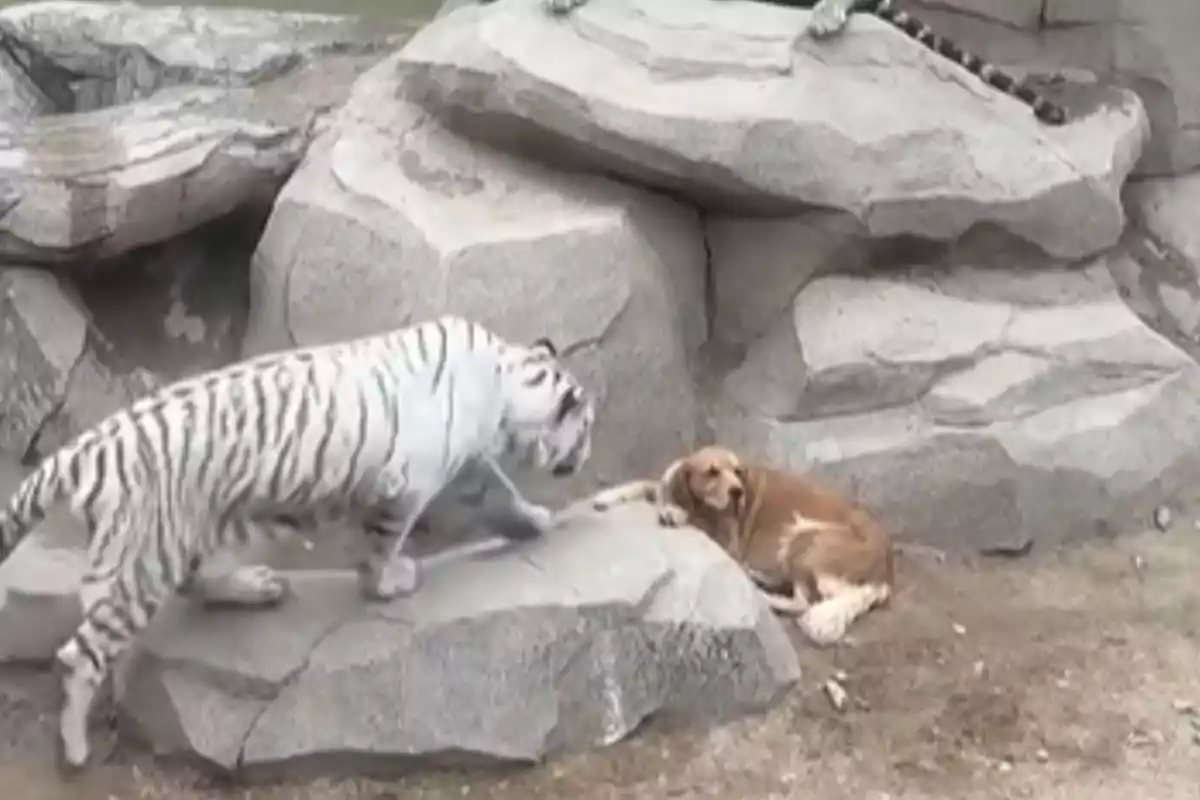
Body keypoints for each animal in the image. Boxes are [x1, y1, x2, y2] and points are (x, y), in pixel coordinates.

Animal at [0, 316, 597, 772]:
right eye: (587, 428)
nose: (586, 455)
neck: (505, 384)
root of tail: (87, 448)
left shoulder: (466, 466)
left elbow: (502, 495)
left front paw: (537, 519)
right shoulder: (411, 482)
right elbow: (385, 544)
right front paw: (390, 582)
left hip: (185, 529)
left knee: (190, 581)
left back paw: (255, 586)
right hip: (144, 559)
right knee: (79, 656)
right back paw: (75, 749)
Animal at [585, 448, 897, 647]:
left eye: (737, 471)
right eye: (712, 472)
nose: (737, 491)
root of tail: (884, 573)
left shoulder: (727, 541)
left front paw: (674, 513)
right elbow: (644, 484)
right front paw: (607, 496)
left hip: (803, 535)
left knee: (802, 602)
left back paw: (761, 591)